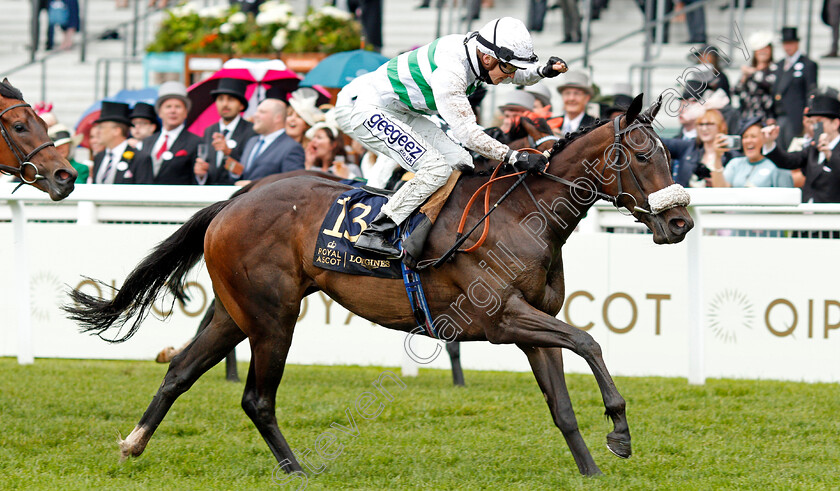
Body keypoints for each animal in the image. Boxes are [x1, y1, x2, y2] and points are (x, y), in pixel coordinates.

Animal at [65, 95, 692, 476]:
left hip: (234, 310)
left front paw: (591, 468)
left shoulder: (532, 325)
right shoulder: (501, 318)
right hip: (272, 316)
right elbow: (590, 341)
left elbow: (561, 404)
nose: (681, 222)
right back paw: (296, 469)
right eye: (640, 155)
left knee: (180, 371)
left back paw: (133, 442)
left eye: (668, 153)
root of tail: (236, 198)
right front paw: (620, 433)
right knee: (256, 398)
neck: (521, 215)